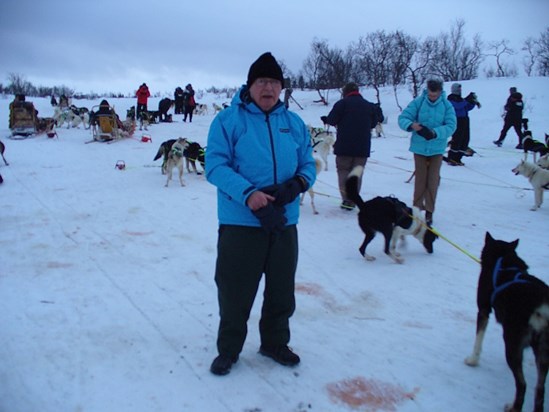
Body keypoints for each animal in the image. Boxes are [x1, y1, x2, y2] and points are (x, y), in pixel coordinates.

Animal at [462, 233, 548, 412]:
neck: (502, 258)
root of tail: (541, 306)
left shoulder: (483, 310)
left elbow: (478, 340)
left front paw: (473, 360)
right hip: (543, 353)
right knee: (540, 389)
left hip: (511, 345)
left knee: (522, 385)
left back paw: (514, 407)